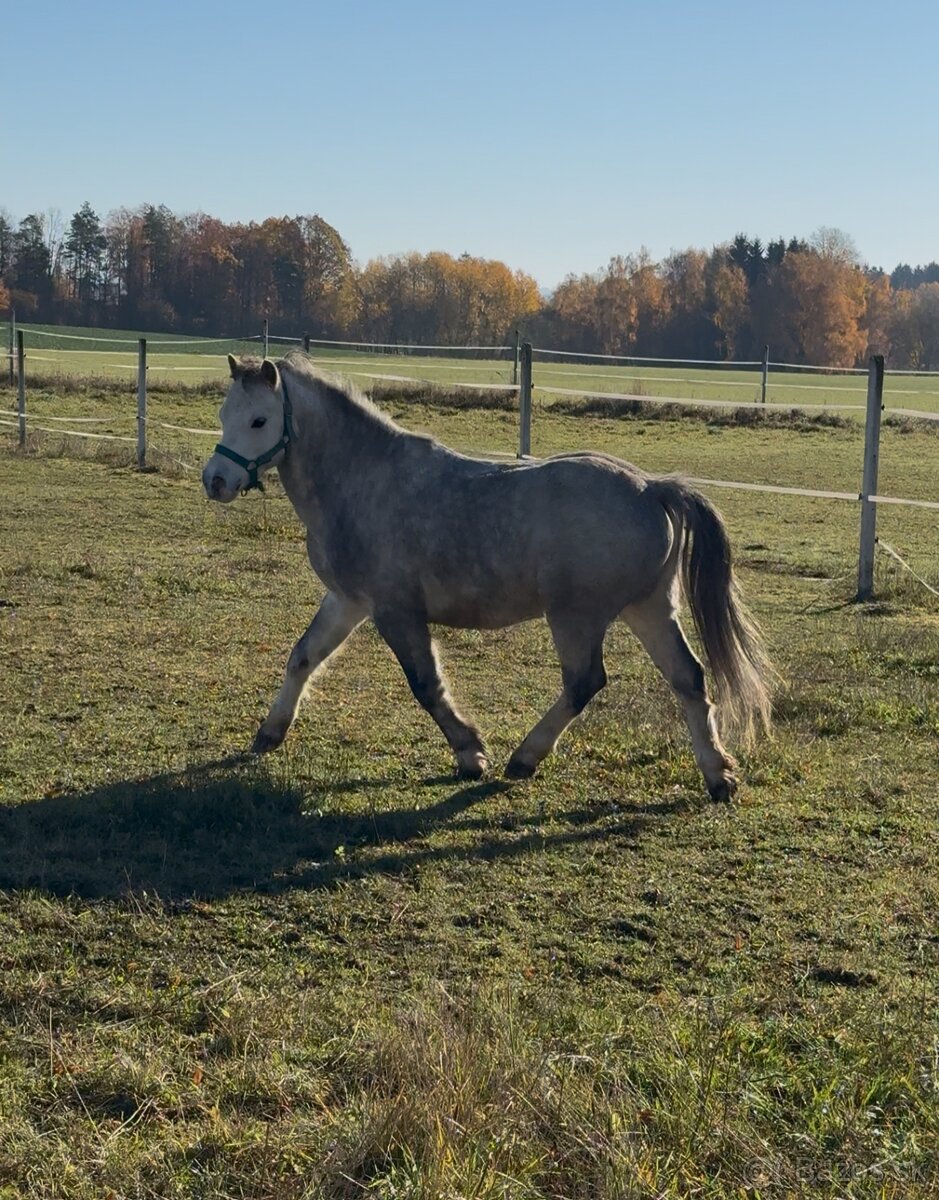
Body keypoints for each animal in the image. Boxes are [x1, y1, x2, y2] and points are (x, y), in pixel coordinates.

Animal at [202, 352, 772, 800]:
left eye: (259, 421)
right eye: (225, 413)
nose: (216, 481)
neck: (364, 481)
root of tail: (651, 488)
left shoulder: (395, 611)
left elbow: (427, 684)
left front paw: (470, 754)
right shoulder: (348, 601)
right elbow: (303, 656)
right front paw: (269, 734)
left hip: (577, 617)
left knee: (585, 682)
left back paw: (524, 758)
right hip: (649, 609)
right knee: (688, 678)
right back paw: (718, 777)